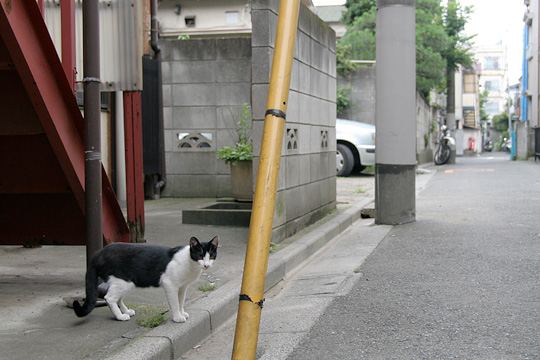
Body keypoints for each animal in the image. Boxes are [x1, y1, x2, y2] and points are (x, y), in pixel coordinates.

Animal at [73, 235, 218, 322]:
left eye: (211, 256)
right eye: (200, 255)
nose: (206, 265)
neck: (190, 263)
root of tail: (98, 254)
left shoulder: (182, 287)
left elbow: (181, 301)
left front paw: (182, 313)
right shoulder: (170, 284)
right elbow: (175, 303)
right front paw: (177, 317)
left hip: (125, 283)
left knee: (117, 298)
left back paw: (126, 311)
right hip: (122, 281)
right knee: (109, 298)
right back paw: (120, 316)